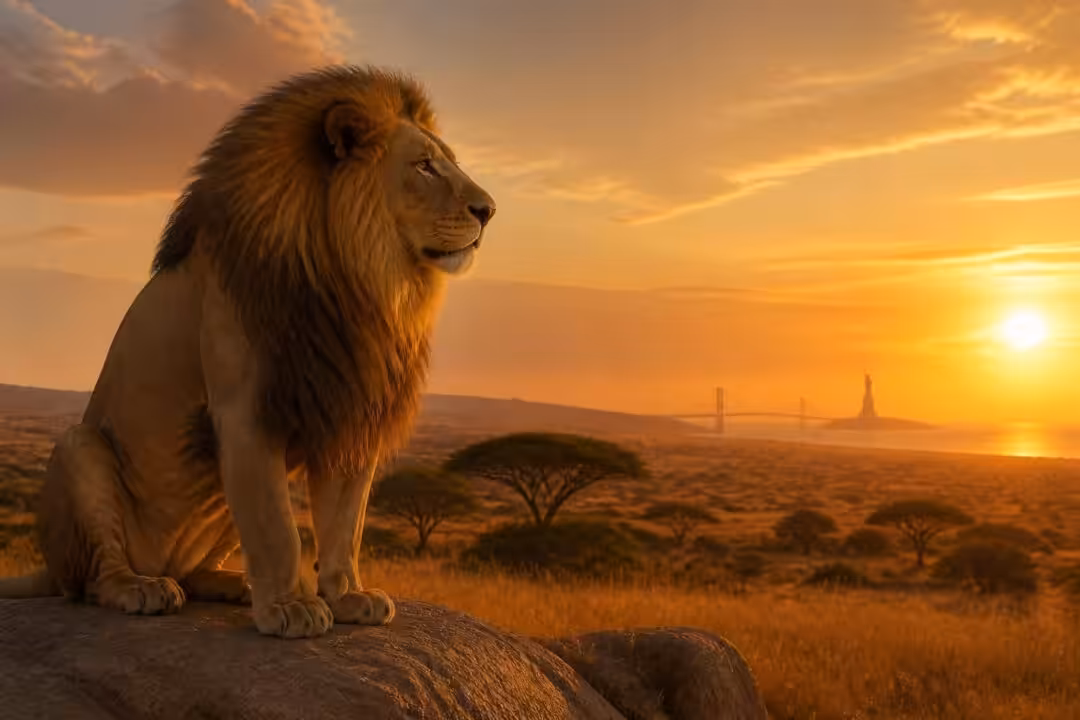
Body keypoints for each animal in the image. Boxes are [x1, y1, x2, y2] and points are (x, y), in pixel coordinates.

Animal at [0, 65, 496, 638]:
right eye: (424, 165)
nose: (489, 210)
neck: (361, 283)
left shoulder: (347, 408)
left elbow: (345, 523)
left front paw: (347, 595)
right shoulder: (247, 412)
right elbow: (277, 527)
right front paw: (290, 607)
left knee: (191, 573)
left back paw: (232, 583)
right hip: (79, 449)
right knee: (94, 579)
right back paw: (141, 588)